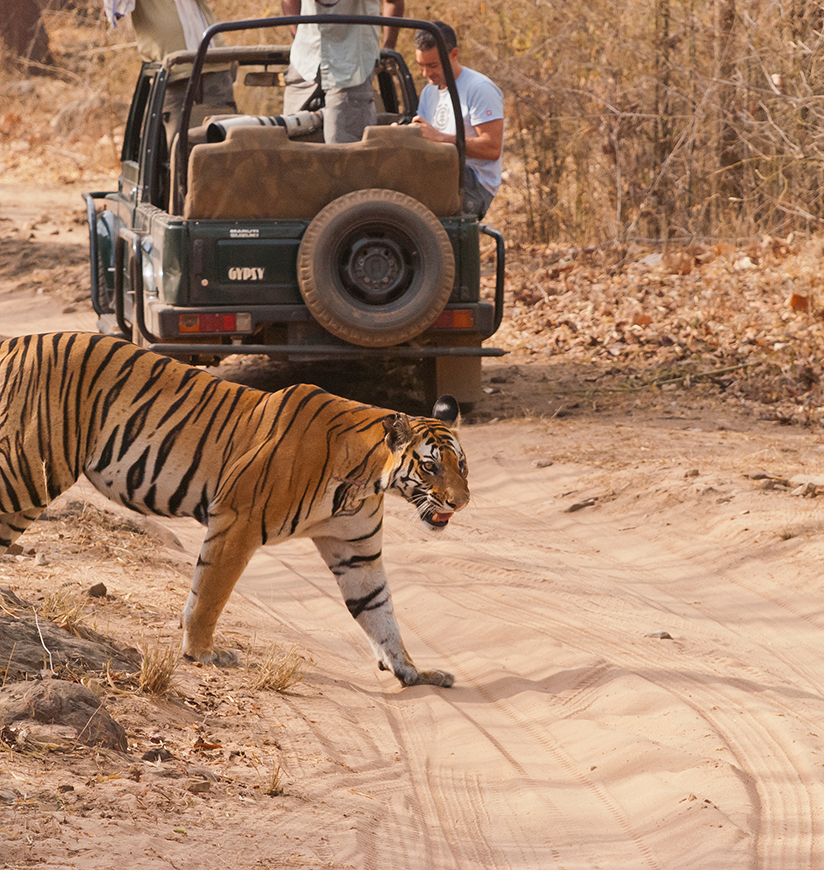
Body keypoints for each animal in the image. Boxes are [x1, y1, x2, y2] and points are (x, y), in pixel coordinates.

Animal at [0, 332, 466, 688]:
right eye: (430, 466)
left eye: (461, 465)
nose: (460, 502)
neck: (364, 480)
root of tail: (17, 341)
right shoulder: (238, 520)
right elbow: (210, 593)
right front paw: (201, 654)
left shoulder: (357, 552)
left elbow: (379, 611)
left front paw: (411, 671)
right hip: (28, 471)